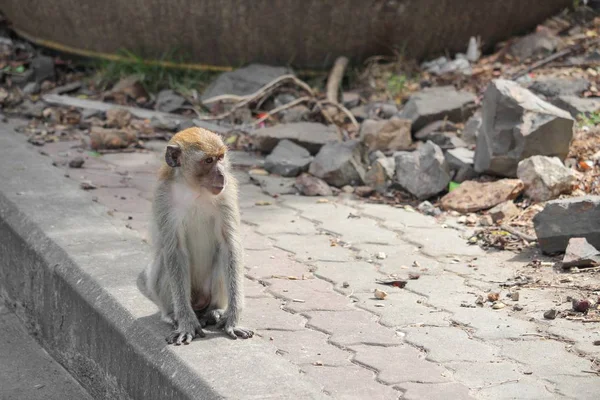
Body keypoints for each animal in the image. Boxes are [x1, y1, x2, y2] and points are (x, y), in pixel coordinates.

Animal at [138, 127, 253, 344]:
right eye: (208, 160)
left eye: (220, 157)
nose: (222, 174)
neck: (195, 190)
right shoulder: (164, 198)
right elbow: (175, 251)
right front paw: (186, 322)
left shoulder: (227, 193)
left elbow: (229, 246)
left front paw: (233, 318)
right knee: (165, 262)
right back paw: (174, 315)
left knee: (222, 257)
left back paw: (213, 312)